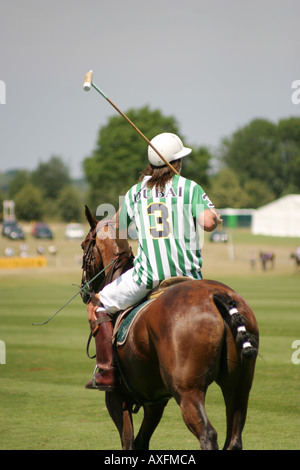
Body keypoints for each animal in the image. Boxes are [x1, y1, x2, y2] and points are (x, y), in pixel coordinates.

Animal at [81, 207, 258, 452]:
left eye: (83, 245)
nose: (83, 290)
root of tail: (217, 296)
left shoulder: (116, 398)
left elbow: (128, 442)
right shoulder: (156, 399)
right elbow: (141, 442)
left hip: (188, 390)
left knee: (207, 434)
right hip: (239, 385)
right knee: (233, 439)